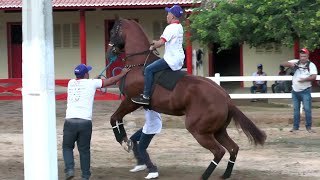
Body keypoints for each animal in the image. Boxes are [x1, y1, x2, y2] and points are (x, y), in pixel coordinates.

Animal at [106, 19, 266, 179]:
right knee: (233, 148)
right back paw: (225, 175)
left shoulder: (131, 101)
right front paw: (126, 141)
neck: (139, 65)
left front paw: (123, 141)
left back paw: (204, 176)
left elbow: (114, 118)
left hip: (198, 130)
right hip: (218, 131)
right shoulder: (131, 102)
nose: (109, 53)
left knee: (219, 151)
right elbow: (117, 118)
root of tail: (226, 98)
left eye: (113, 31)